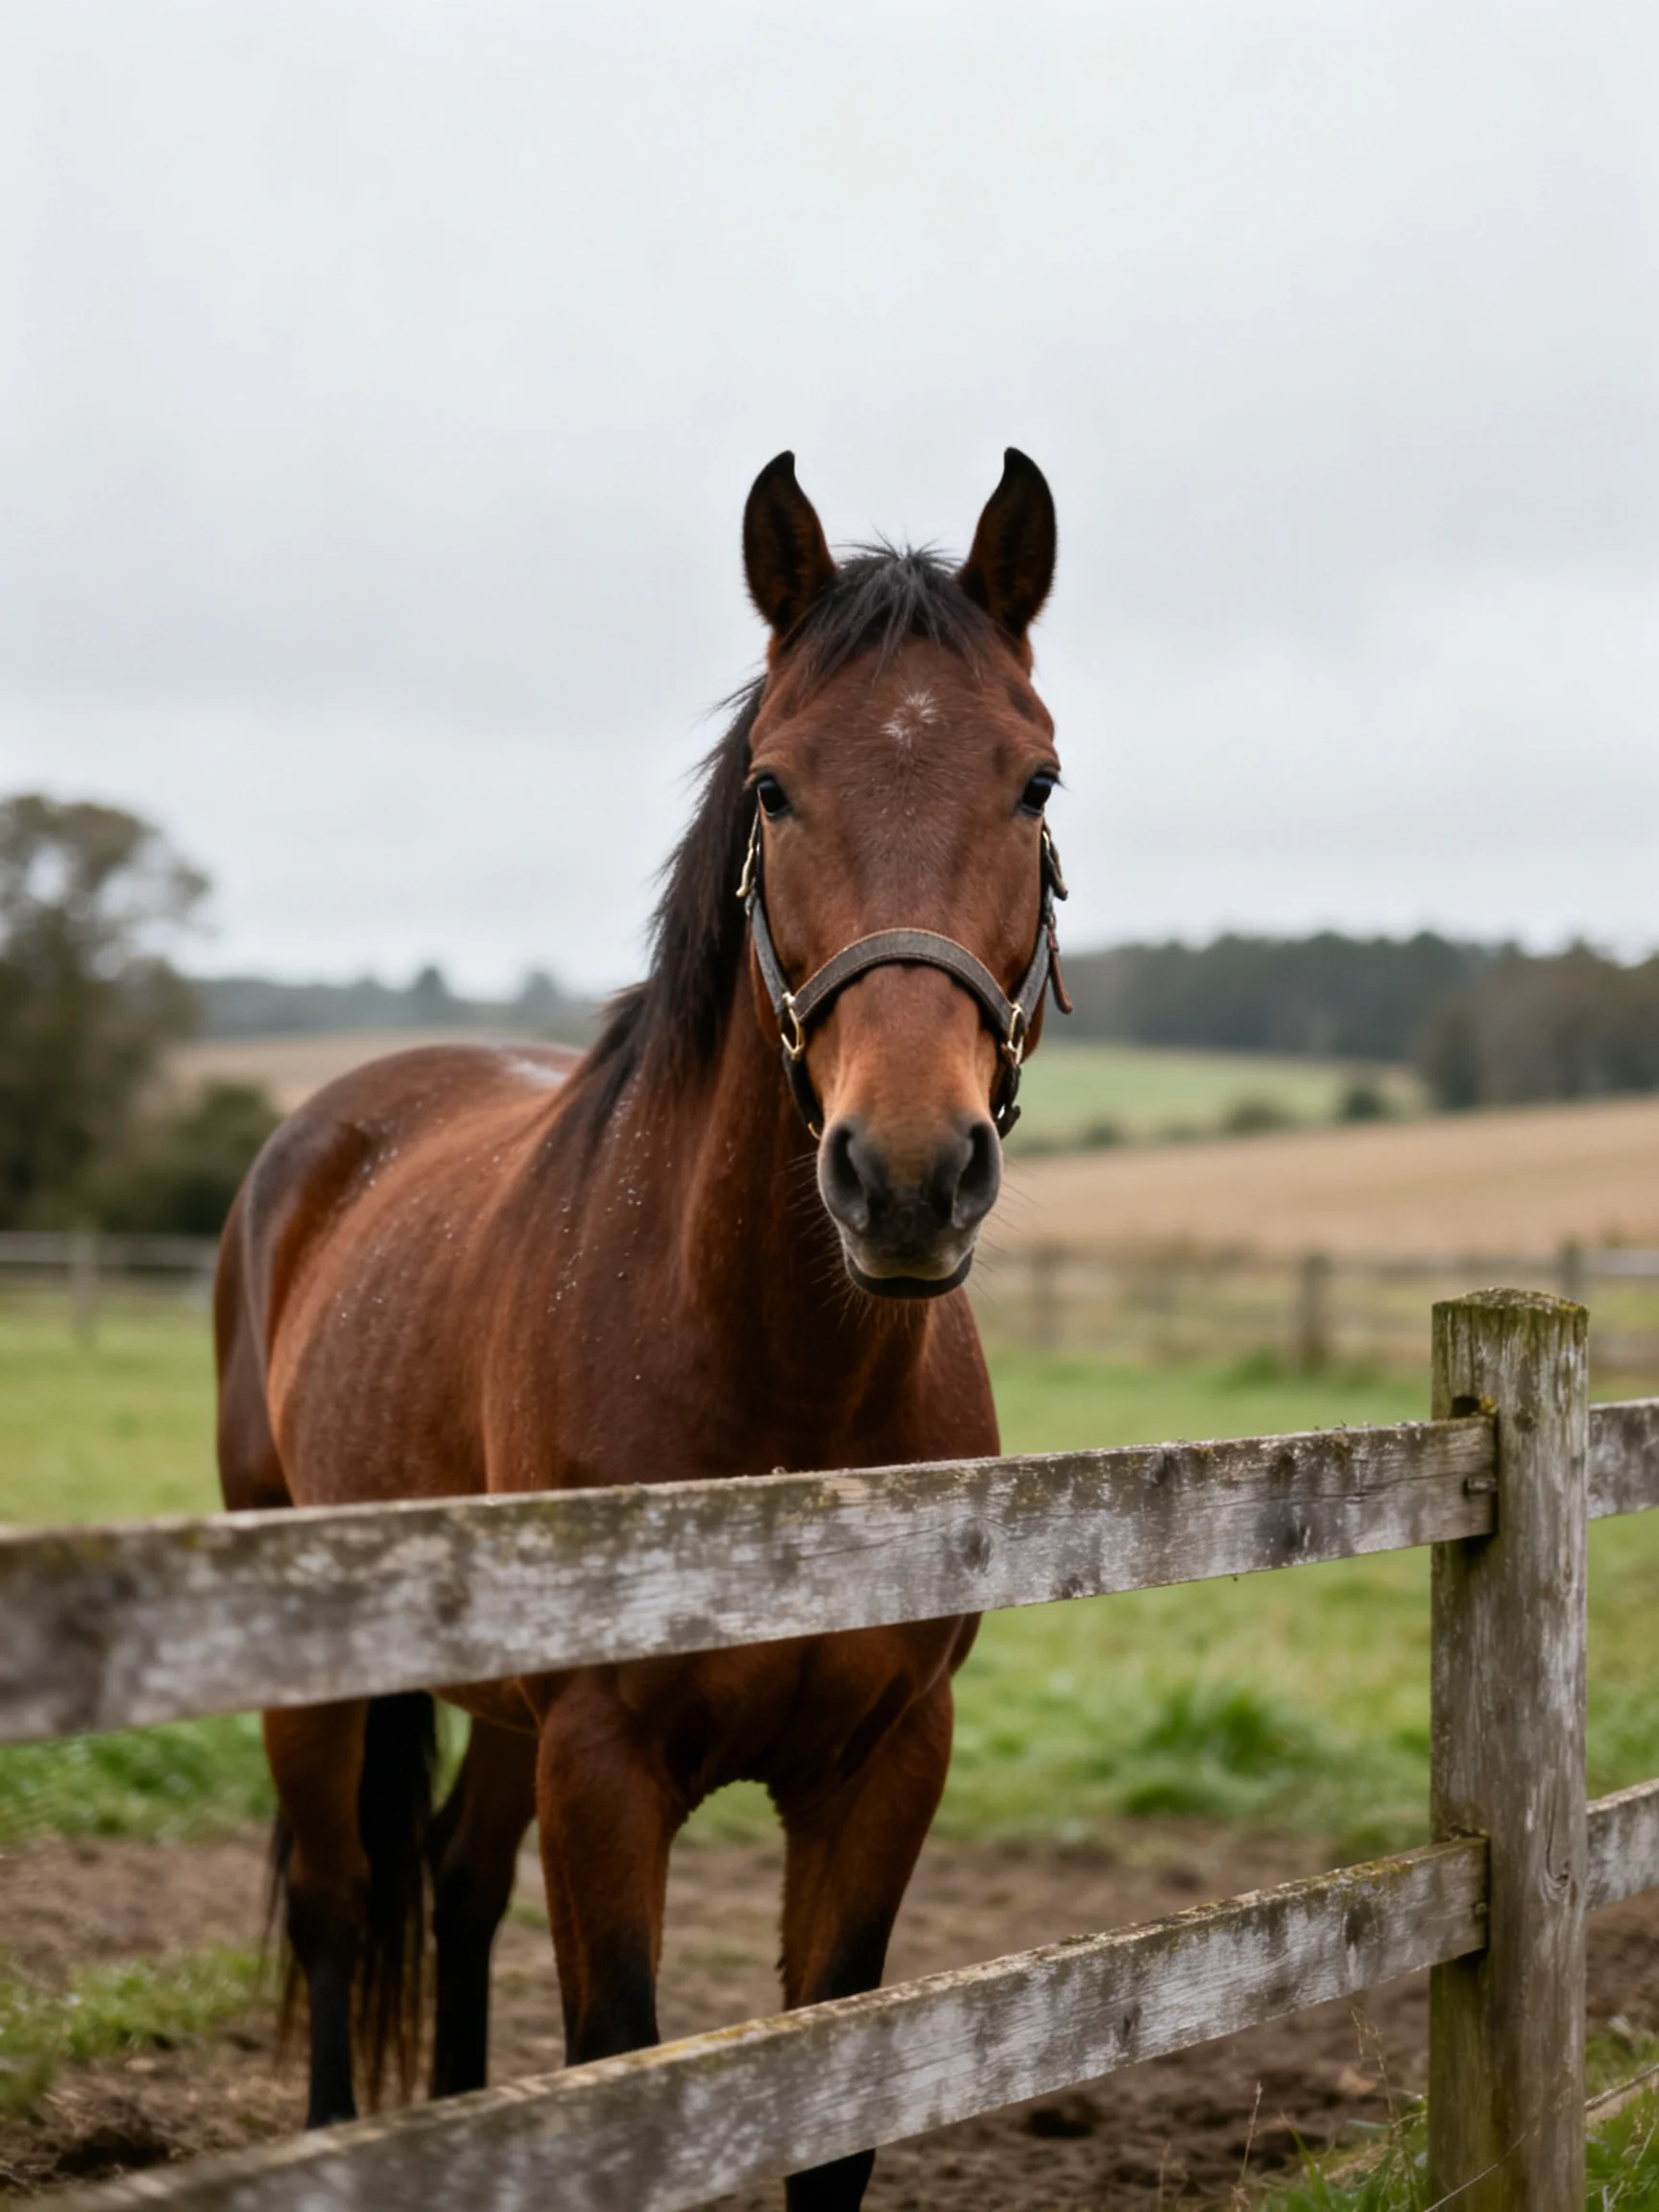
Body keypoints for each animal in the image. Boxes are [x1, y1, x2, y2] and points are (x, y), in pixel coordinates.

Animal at [215, 447, 1067, 2210]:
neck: (784, 1406)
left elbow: (828, 2100)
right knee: (339, 1902)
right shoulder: (604, 1770)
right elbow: (621, 2063)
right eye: (773, 788)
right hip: (307, 1652)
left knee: (458, 1885)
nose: (904, 1175)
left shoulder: (884, 1765)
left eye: (1035, 784)